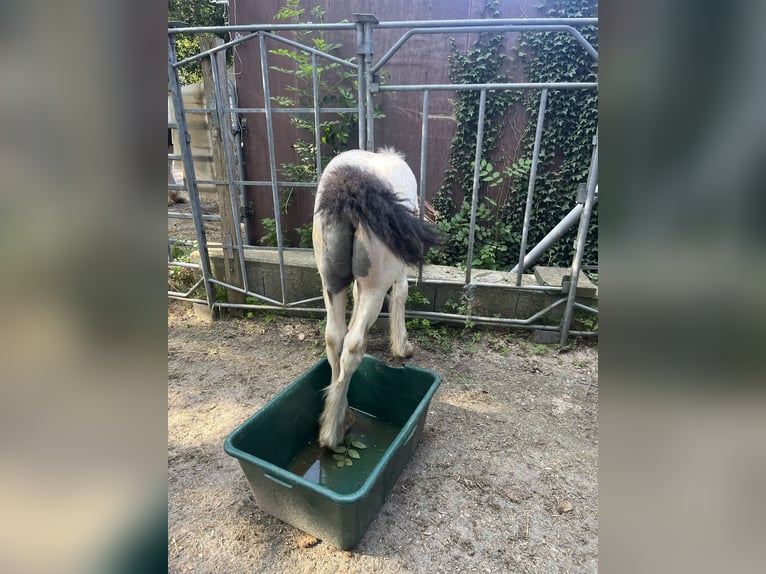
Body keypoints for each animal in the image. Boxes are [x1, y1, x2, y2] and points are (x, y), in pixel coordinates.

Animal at [314, 148, 444, 450]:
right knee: (352, 345)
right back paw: (332, 433)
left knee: (334, 339)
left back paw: (341, 415)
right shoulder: (398, 271)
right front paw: (402, 347)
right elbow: (402, 294)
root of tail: (350, 182)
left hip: (331, 283)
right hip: (375, 284)